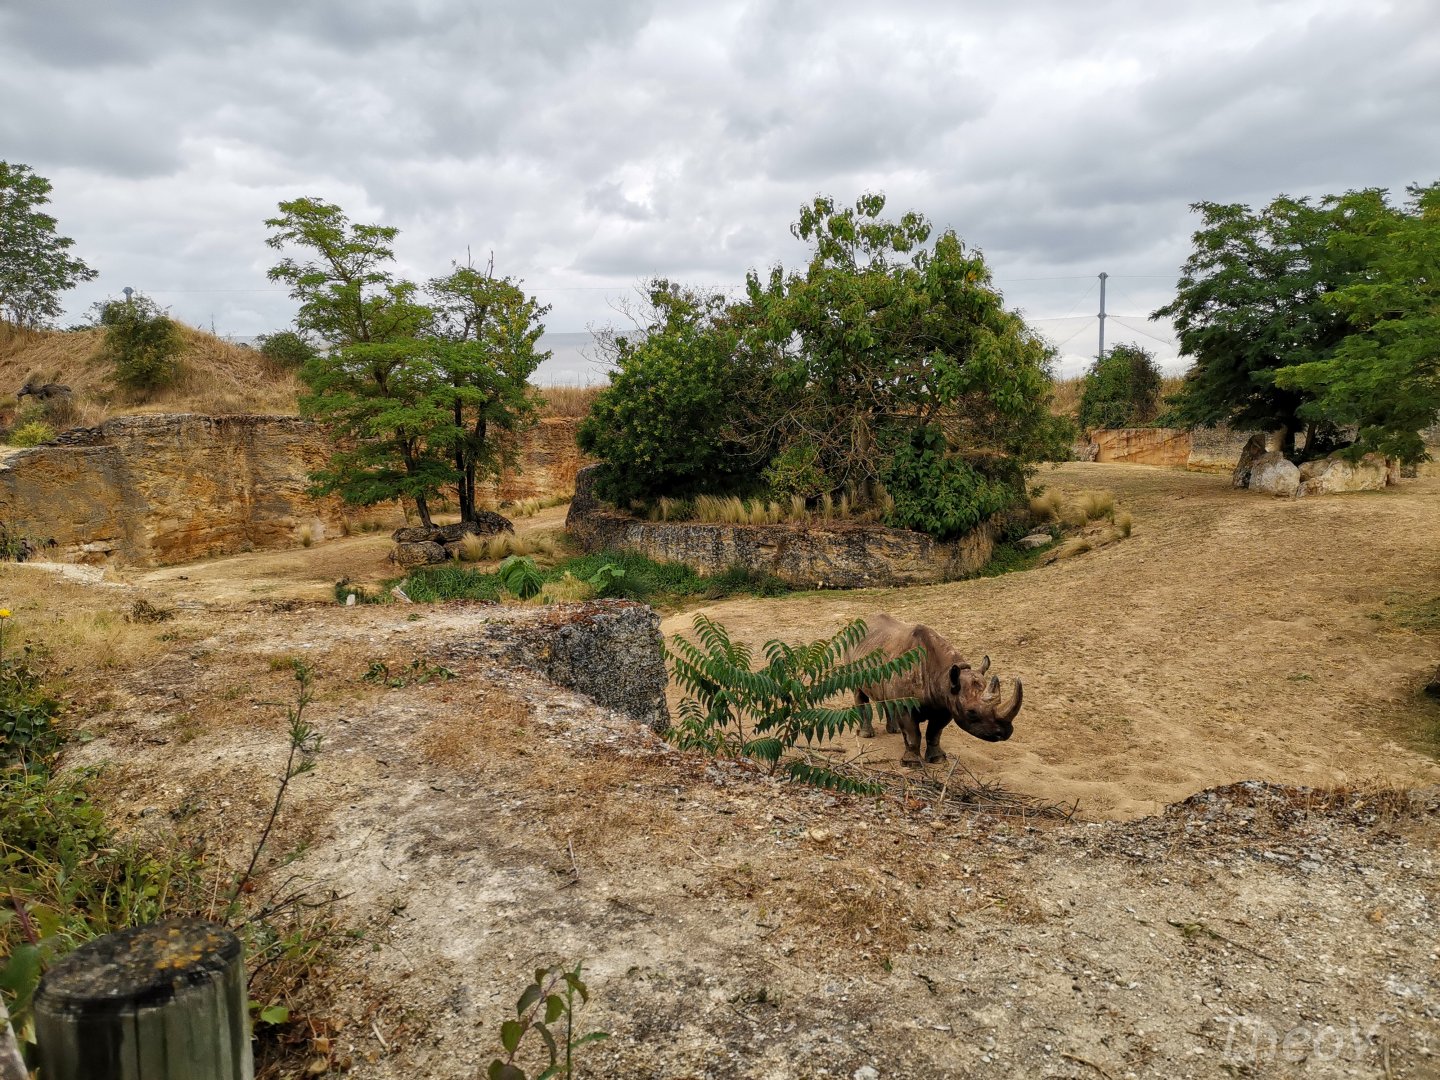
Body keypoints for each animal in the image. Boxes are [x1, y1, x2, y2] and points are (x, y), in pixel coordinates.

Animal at [851, 613, 1022, 767]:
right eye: (971, 713)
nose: (1005, 733)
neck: (944, 677)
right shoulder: (907, 705)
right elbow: (913, 734)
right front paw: (912, 764)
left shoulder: (946, 703)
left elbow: (934, 732)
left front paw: (937, 759)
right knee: (859, 692)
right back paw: (867, 735)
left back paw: (895, 730)